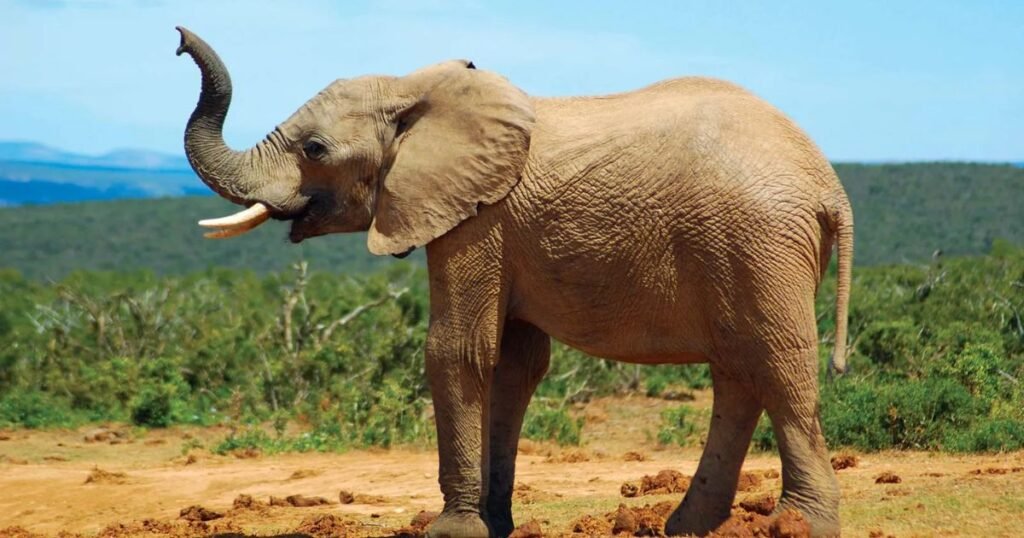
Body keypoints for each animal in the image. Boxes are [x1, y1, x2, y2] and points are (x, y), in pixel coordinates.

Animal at [174, 26, 853, 537]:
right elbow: (512, 364)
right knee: (738, 370)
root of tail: (829, 185)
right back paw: (688, 528)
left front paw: (451, 531)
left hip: (758, 243)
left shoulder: (478, 218)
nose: (178, 40)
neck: (415, 89)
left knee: (776, 363)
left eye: (314, 149)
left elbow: (457, 351)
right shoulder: (497, 227)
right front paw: (491, 525)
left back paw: (798, 526)